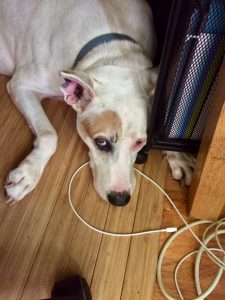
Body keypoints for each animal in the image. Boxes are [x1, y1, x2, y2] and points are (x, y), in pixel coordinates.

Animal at [0, 0, 195, 206]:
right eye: (101, 142)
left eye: (140, 142)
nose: (120, 199)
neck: (115, 48)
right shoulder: (20, 85)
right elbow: (49, 135)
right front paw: (27, 175)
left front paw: (177, 155)